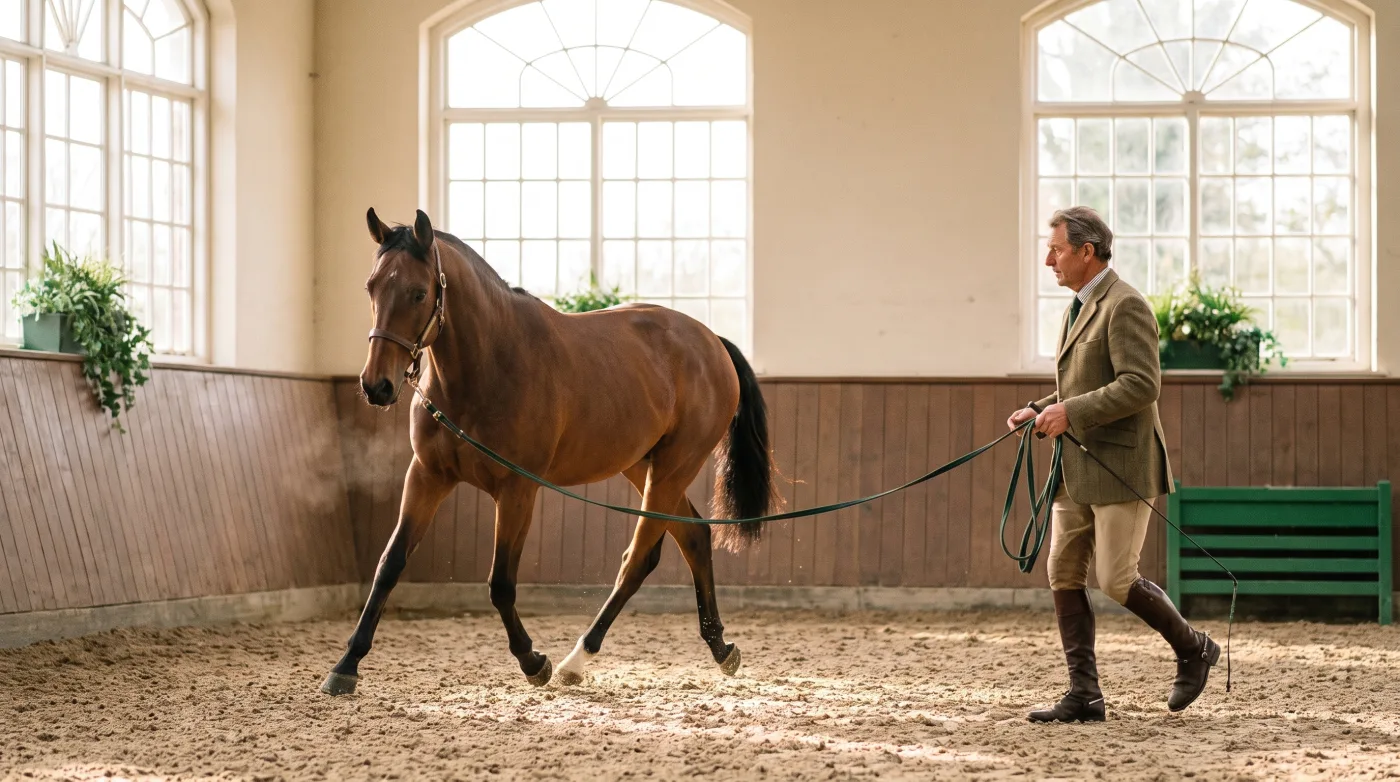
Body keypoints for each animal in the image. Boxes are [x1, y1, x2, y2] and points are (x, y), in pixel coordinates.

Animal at [320, 208, 781, 695]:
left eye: (419, 292)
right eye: (371, 287)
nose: (376, 386)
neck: (486, 367)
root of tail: (711, 341)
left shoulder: (517, 490)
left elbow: (501, 583)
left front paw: (531, 660)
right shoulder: (427, 475)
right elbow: (389, 565)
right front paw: (346, 665)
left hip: (675, 467)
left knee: (638, 558)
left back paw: (577, 659)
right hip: (645, 467)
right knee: (691, 536)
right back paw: (720, 647)